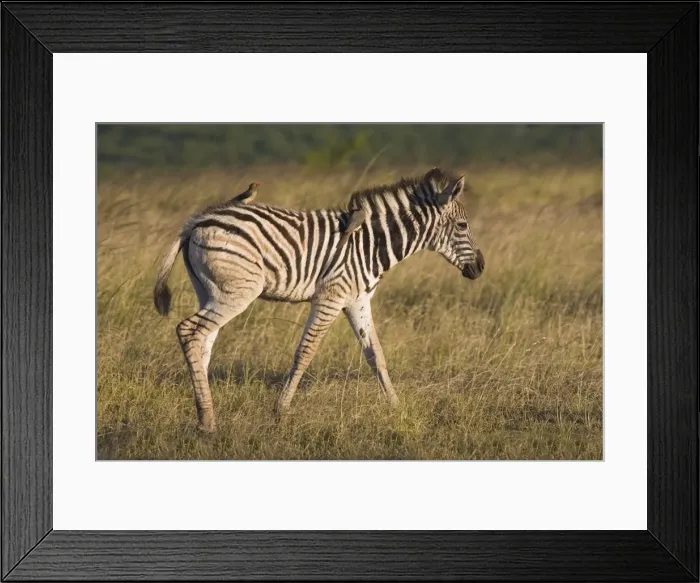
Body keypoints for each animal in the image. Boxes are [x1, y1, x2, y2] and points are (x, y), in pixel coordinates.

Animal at [153, 167, 485, 432]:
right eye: (463, 226)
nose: (480, 267)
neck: (371, 244)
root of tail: (196, 221)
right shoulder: (331, 297)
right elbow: (306, 351)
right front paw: (281, 410)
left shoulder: (358, 300)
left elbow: (376, 355)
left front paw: (396, 406)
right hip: (237, 291)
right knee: (189, 331)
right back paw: (207, 421)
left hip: (209, 291)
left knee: (203, 339)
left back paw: (203, 413)